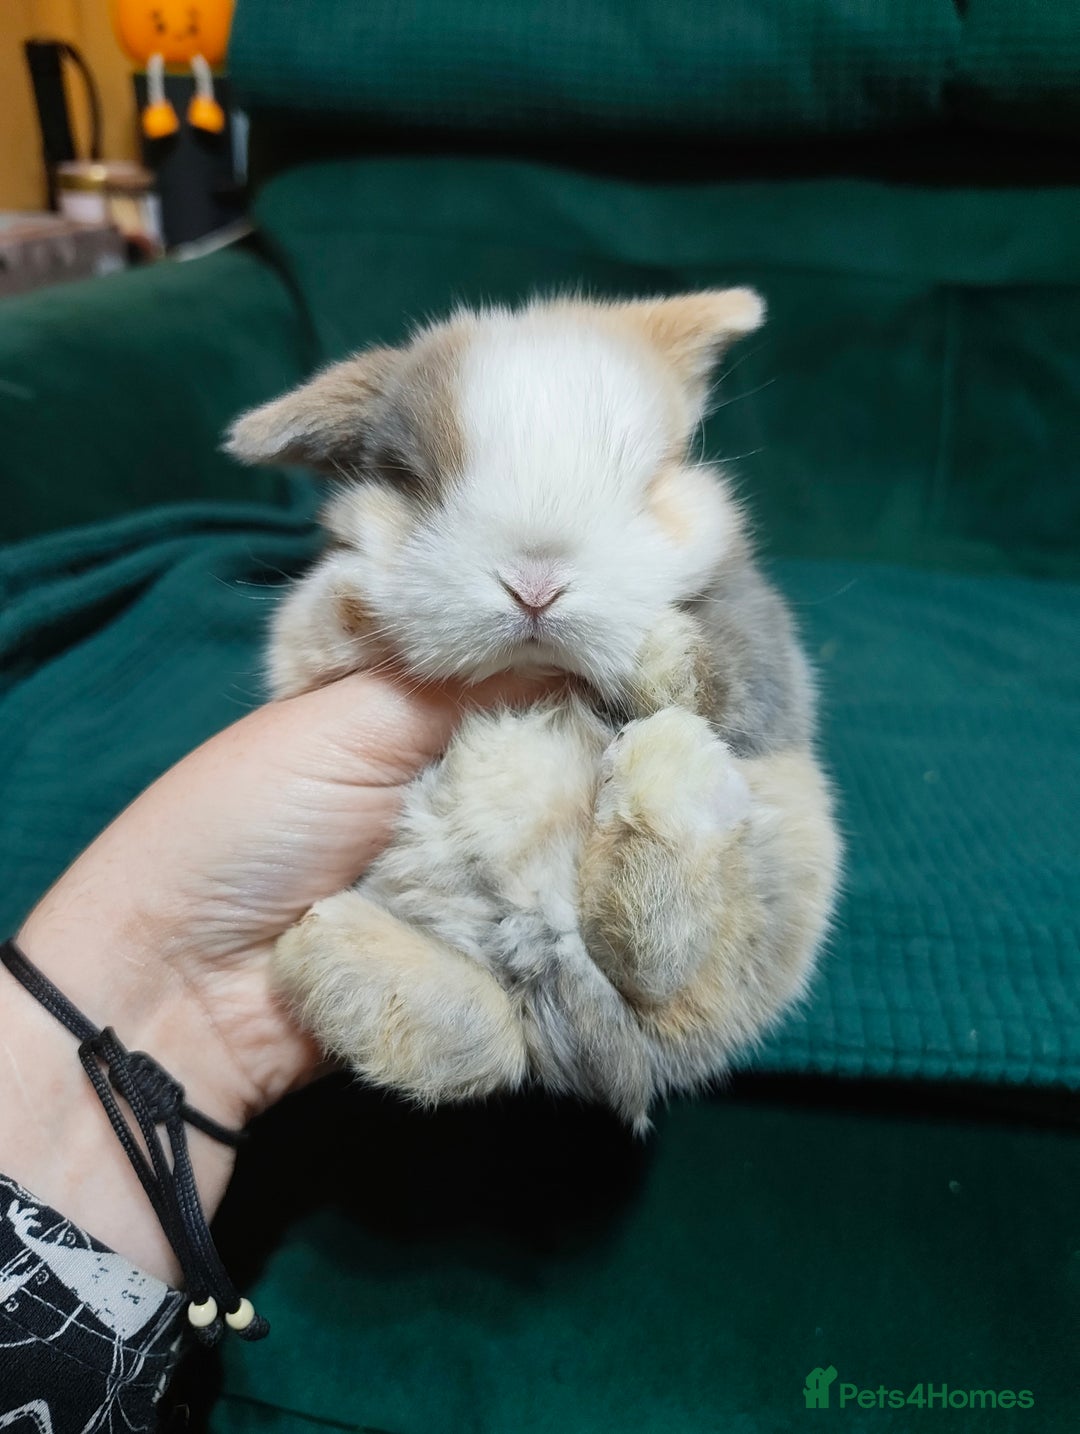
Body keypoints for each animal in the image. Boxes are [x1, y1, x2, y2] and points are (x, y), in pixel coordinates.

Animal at [226, 290, 841, 1130]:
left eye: (651, 479)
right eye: (408, 479)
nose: (535, 586)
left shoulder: (764, 664)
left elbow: (721, 673)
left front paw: (650, 650)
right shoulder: (297, 670)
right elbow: (311, 634)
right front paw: (355, 602)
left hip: (768, 878)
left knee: (649, 967)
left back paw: (665, 775)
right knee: (492, 1042)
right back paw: (329, 952)